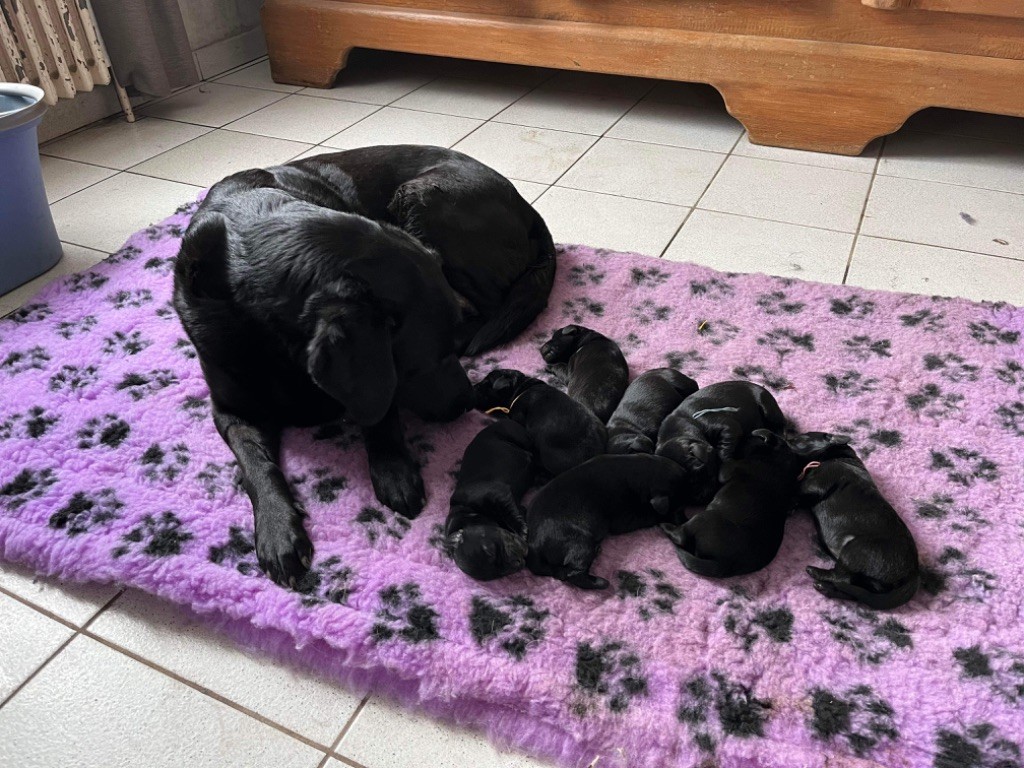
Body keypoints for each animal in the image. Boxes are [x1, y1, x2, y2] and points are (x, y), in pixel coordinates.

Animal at [446, 421, 536, 581]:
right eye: (499, 574)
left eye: (491, 550)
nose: (516, 563)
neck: (467, 512)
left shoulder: (499, 494)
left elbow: (511, 513)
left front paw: (522, 531)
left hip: (516, 433)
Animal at [528, 456, 688, 589]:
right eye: (679, 506)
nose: (686, 521)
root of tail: (534, 546)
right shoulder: (626, 518)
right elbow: (653, 515)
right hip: (580, 542)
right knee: (573, 573)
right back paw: (601, 582)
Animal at [663, 430, 798, 581]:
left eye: (746, 439)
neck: (779, 459)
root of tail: (726, 565)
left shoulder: (730, 468)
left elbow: (726, 464)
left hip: (704, 518)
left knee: (681, 536)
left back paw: (666, 526)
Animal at [782, 436, 921, 610]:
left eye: (800, 439)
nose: (783, 437)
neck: (841, 457)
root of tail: (913, 574)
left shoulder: (816, 483)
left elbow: (796, 488)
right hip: (870, 582)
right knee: (857, 592)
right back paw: (825, 588)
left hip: (854, 550)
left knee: (844, 578)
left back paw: (815, 572)